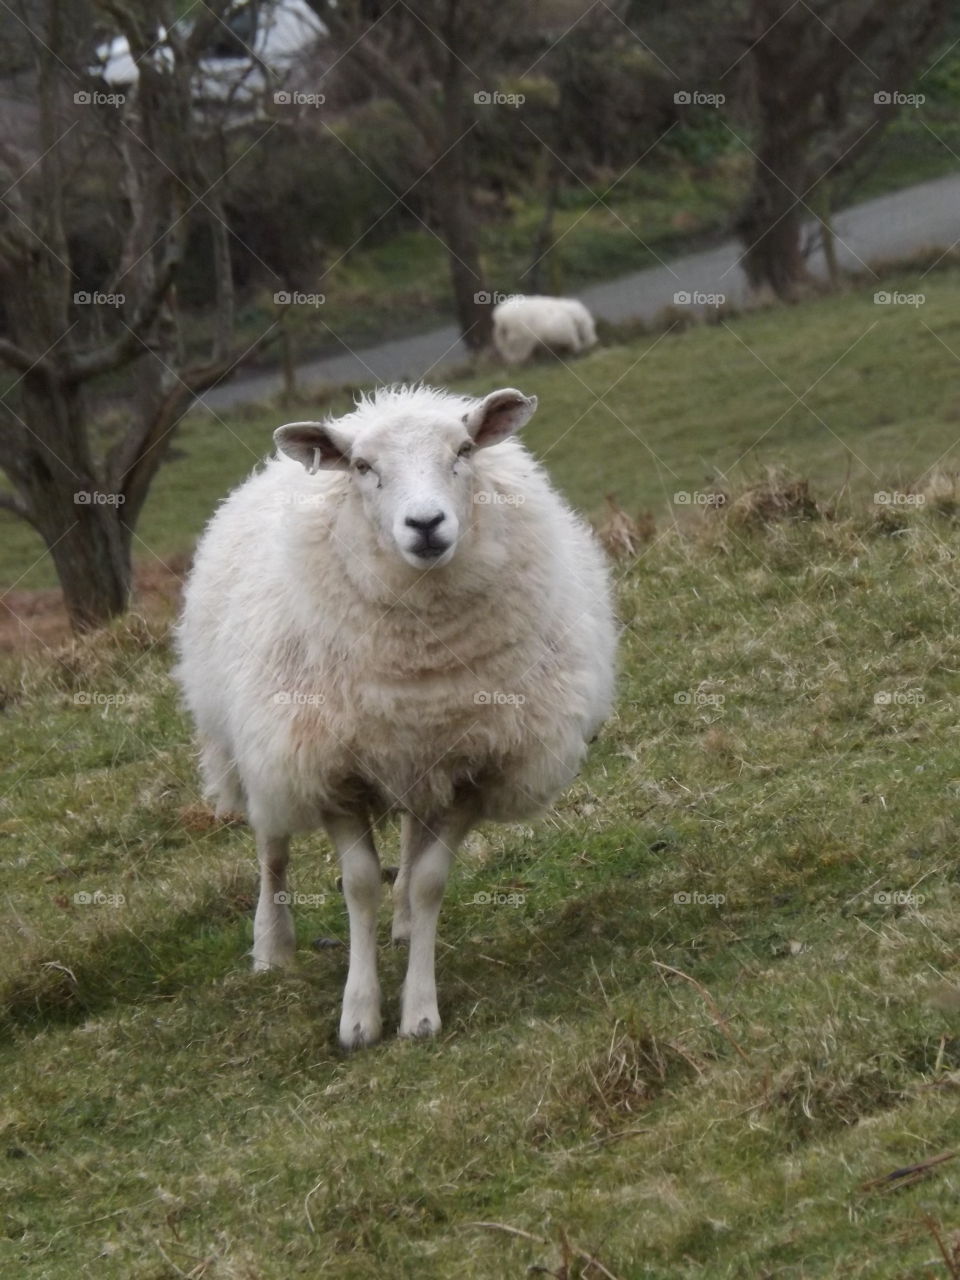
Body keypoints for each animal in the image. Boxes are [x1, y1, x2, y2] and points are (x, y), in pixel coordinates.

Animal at [174, 385, 617, 1048]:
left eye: (464, 450)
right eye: (362, 467)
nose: (426, 525)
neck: (420, 659)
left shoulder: (475, 767)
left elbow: (432, 879)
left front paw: (419, 1010)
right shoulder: (331, 768)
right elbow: (358, 884)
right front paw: (358, 1016)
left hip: (423, 754)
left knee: (412, 836)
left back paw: (405, 920)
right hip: (263, 745)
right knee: (271, 847)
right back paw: (271, 947)